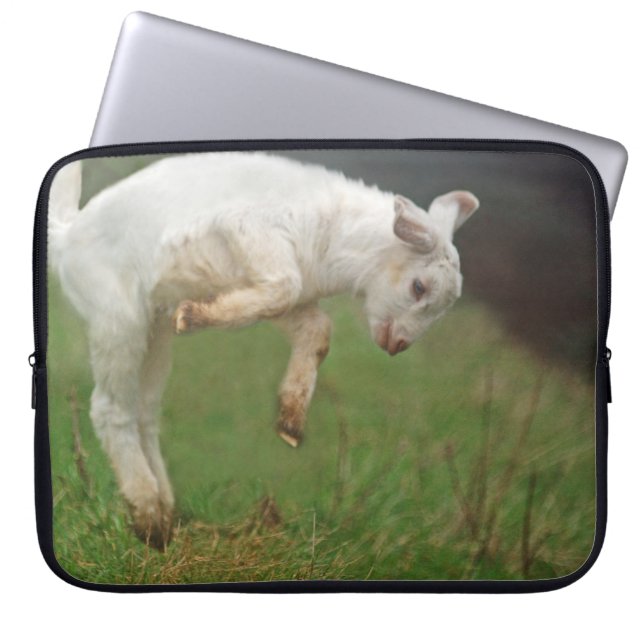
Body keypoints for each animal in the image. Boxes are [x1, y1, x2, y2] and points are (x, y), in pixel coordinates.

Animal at [49, 152, 479, 548]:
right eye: (419, 287)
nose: (398, 345)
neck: (337, 239)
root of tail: (67, 237)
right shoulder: (248, 229)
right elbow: (285, 288)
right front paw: (192, 315)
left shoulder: (277, 293)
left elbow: (315, 327)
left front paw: (290, 425)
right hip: (118, 318)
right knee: (109, 409)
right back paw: (150, 517)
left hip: (154, 332)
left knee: (144, 410)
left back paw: (166, 518)